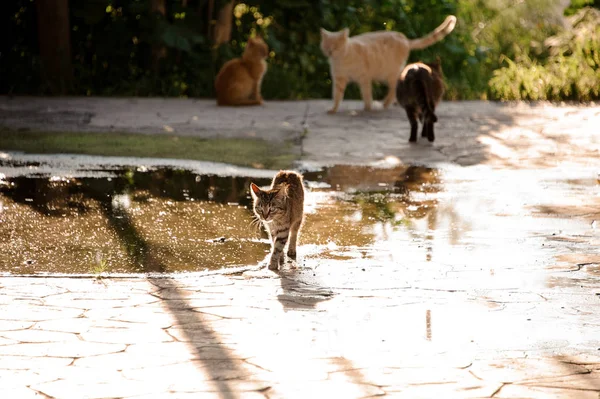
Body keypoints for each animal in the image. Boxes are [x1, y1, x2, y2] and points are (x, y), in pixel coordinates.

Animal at [322, 14, 458, 113]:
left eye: (336, 46)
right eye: (327, 45)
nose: (330, 51)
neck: (341, 60)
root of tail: (405, 39)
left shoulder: (364, 78)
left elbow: (366, 94)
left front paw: (367, 107)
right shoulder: (339, 80)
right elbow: (337, 96)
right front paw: (333, 109)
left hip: (390, 74)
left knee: (393, 90)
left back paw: (385, 104)